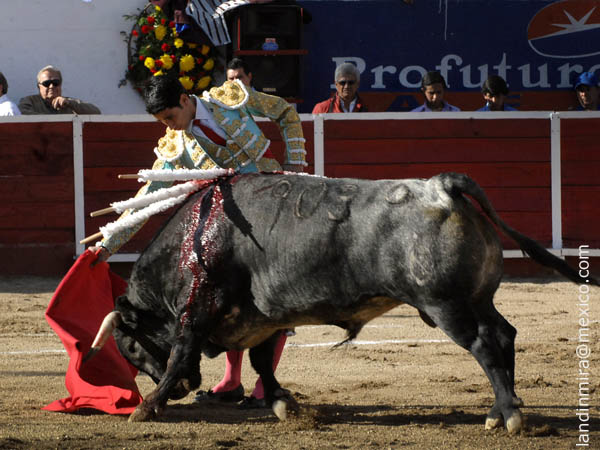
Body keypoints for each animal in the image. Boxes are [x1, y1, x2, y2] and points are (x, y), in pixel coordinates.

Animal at [86, 172, 596, 432]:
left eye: (129, 348)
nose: (187, 390)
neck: (199, 235)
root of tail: (442, 185)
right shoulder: (264, 316)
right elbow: (261, 360)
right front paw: (283, 404)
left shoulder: (198, 310)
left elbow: (180, 352)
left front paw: (149, 406)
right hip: (477, 298)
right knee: (504, 336)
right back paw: (496, 412)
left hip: (446, 305)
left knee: (486, 345)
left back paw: (509, 416)